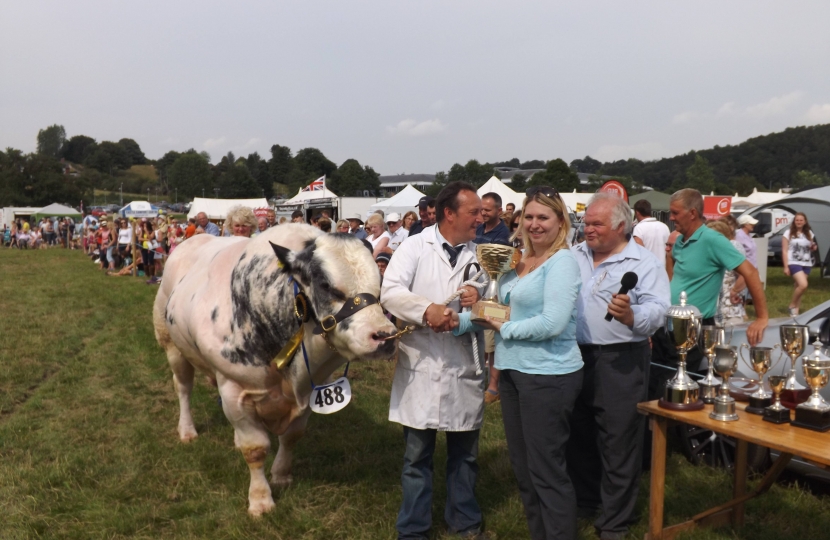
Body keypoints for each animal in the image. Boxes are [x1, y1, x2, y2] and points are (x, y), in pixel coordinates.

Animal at [154, 226, 400, 516]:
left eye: (379, 283)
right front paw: (261, 499)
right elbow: (255, 448)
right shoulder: (233, 388)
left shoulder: (311, 388)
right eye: (326, 285)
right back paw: (187, 430)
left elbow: (291, 436)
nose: (385, 336)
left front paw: (281, 475)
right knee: (183, 388)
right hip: (171, 344)